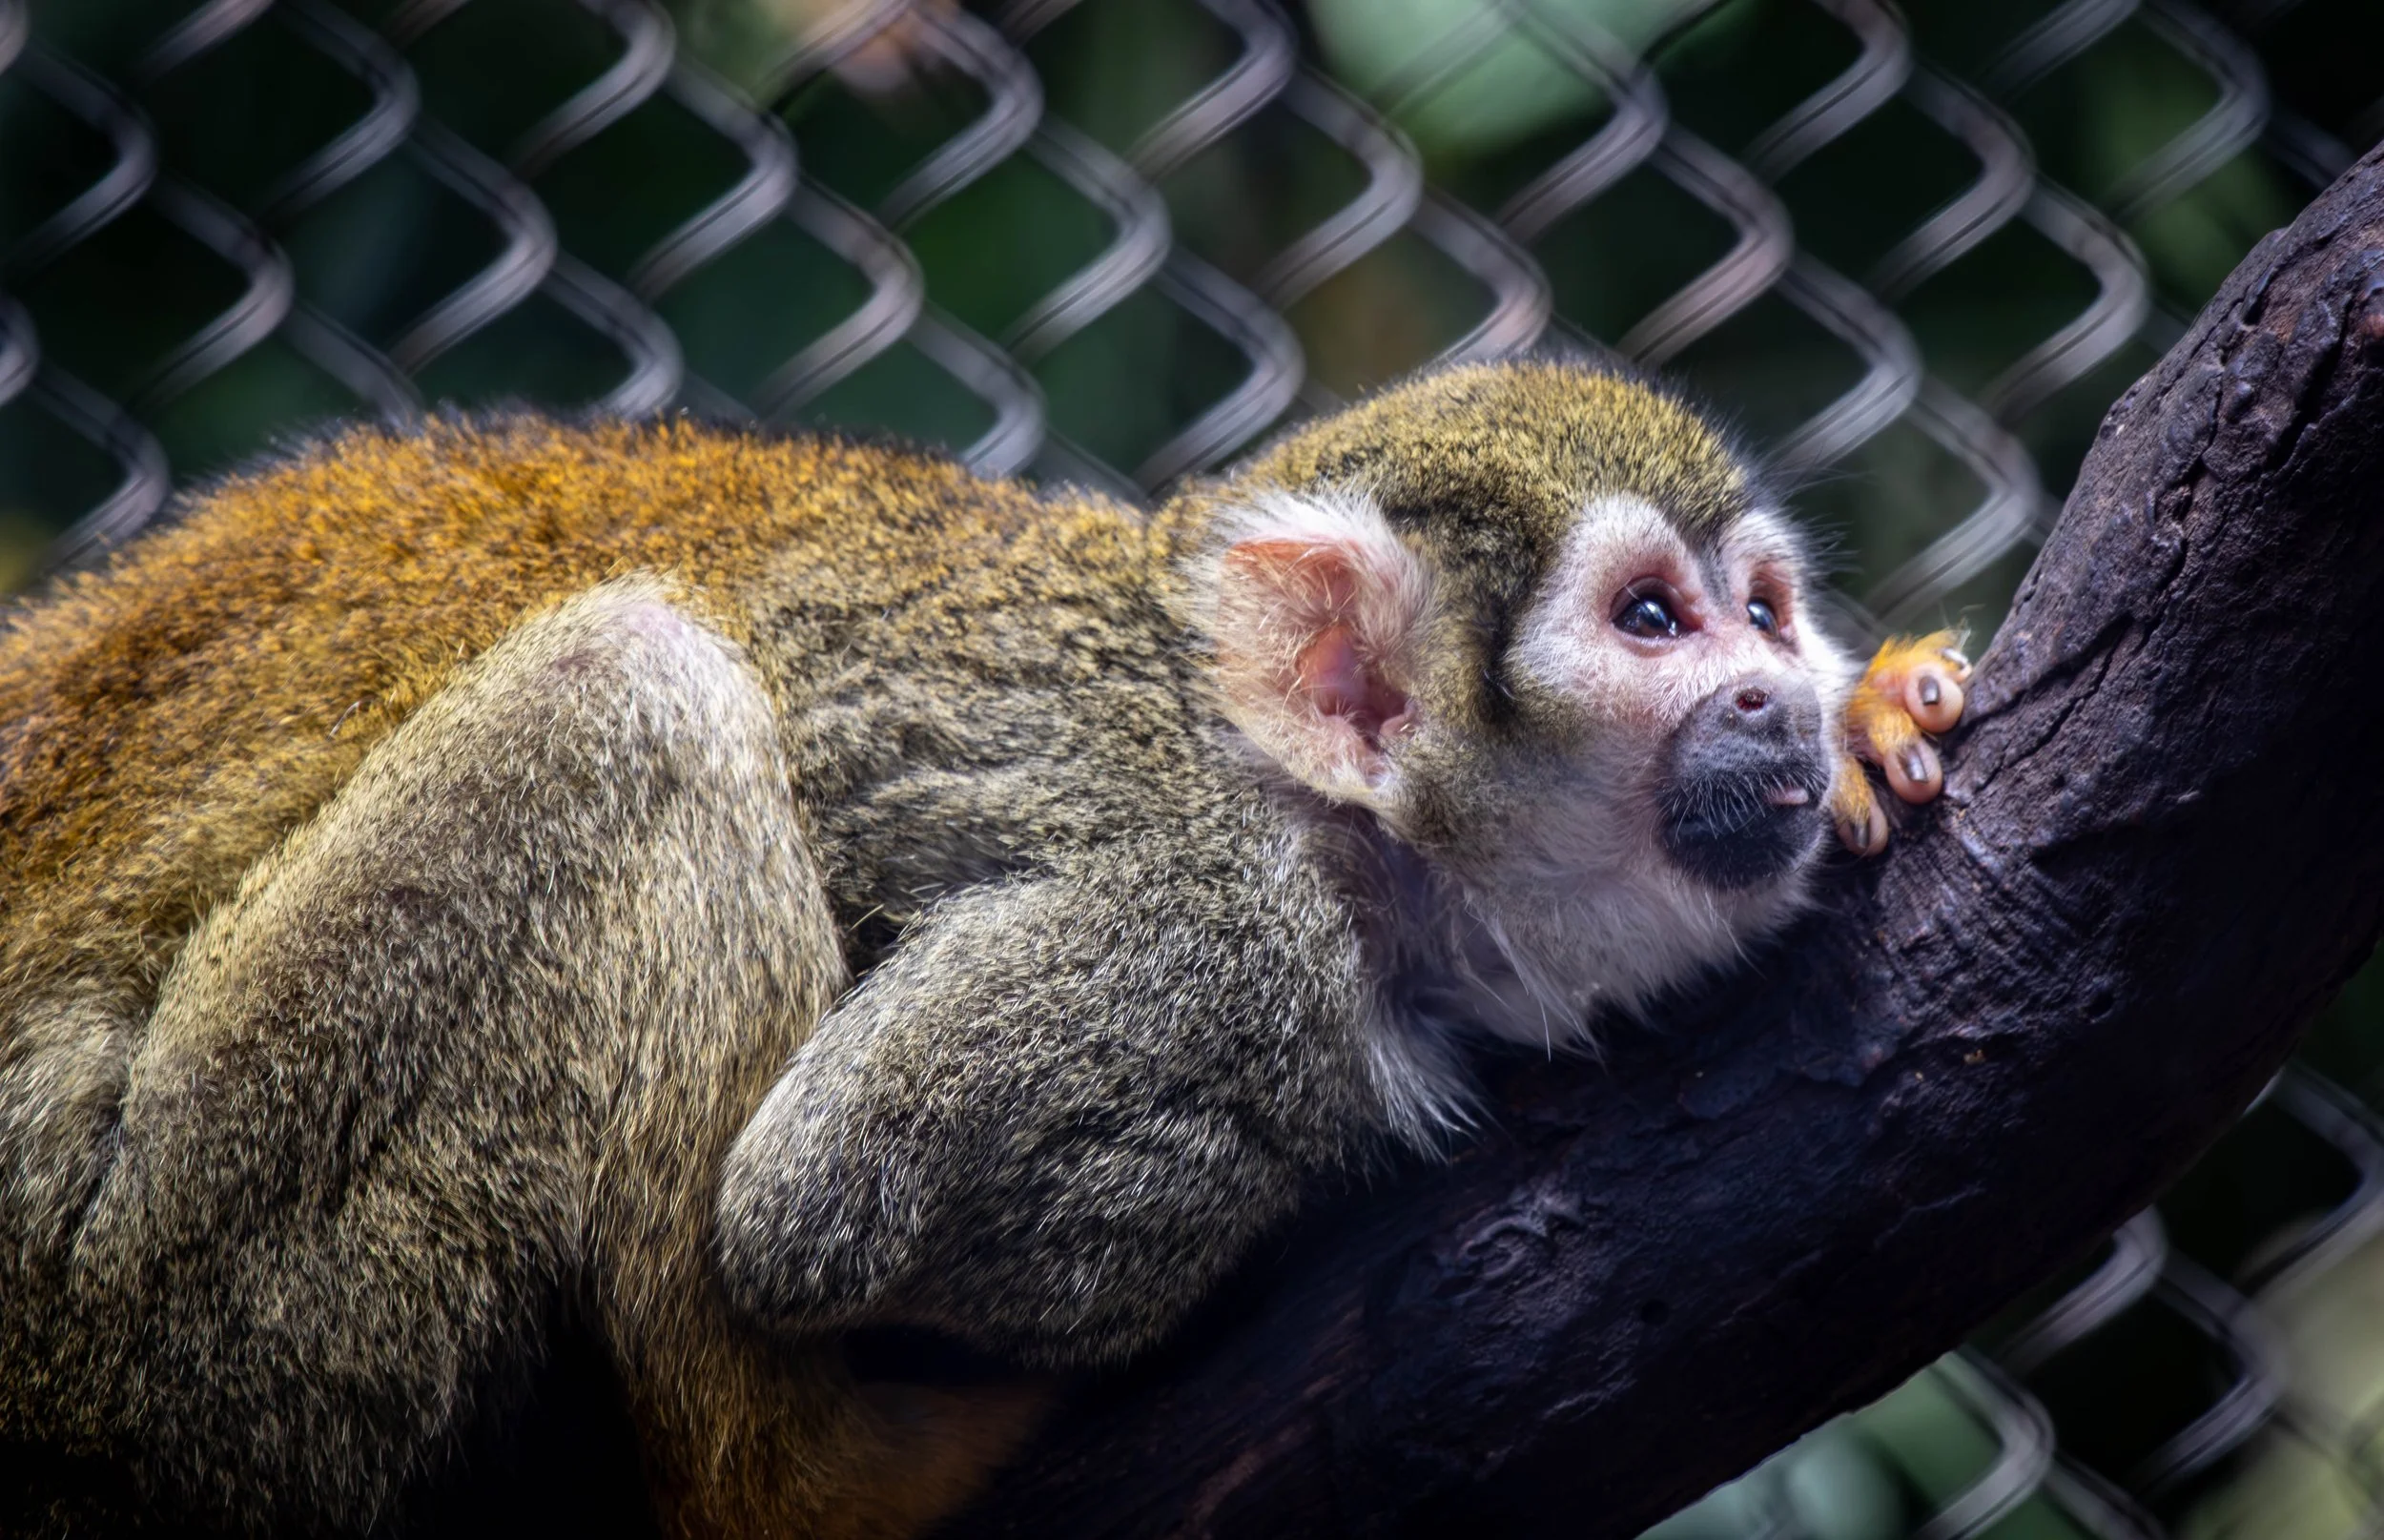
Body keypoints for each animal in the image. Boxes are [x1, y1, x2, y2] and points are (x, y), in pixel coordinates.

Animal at [0, 359, 1968, 1538]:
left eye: (1766, 613)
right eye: (1652, 621)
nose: (1780, 696)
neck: (1293, 802)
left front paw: (1878, 719)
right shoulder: (1194, 945)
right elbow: (818, 1206)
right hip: (164, 1313)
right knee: (636, 692)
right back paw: (811, 1484)